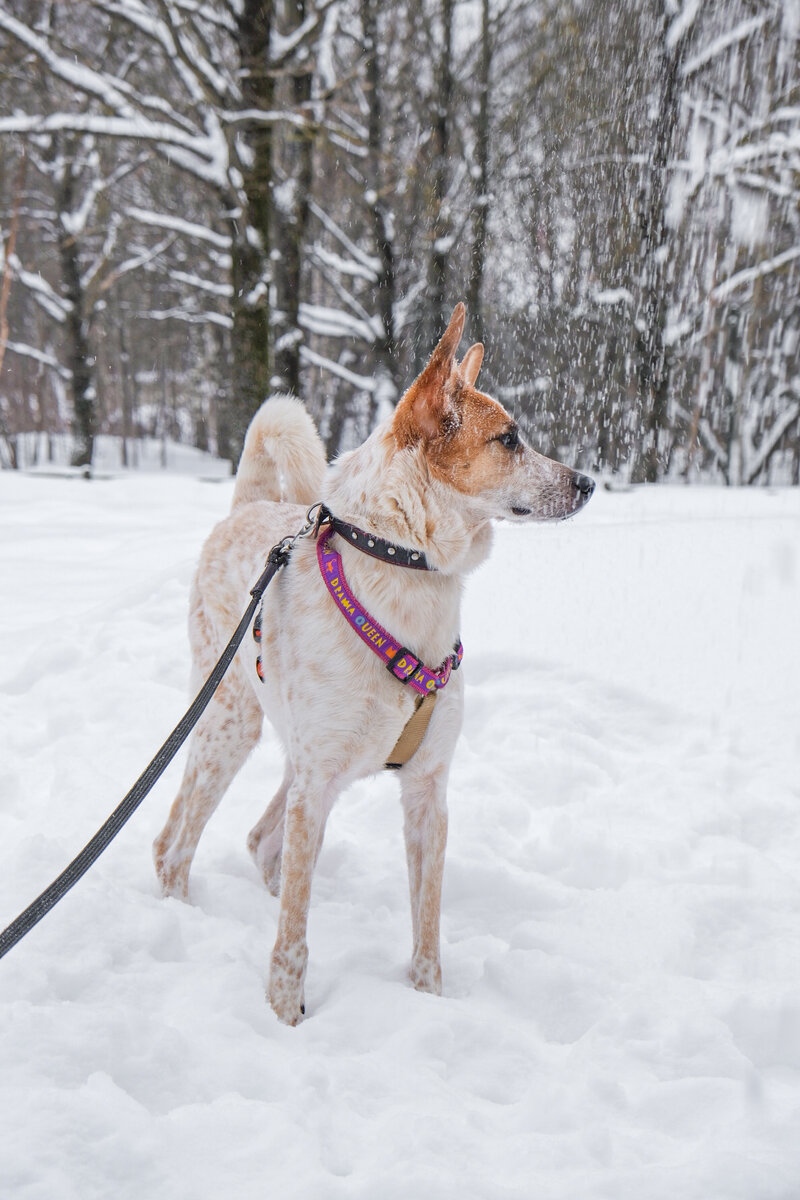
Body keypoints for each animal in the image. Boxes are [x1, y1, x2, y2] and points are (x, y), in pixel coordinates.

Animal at [154, 300, 594, 1022]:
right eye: (509, 439)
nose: (588, 483)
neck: (403, 568)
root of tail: (248, 506)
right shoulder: (315, 788)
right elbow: (293, 941)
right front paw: (285, 1018)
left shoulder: (427, 793)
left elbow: (426, 932)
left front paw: (428, 1004)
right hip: (231, 726)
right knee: (174, 846)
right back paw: (178, 918)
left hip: (300, 758)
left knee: (260, 841)